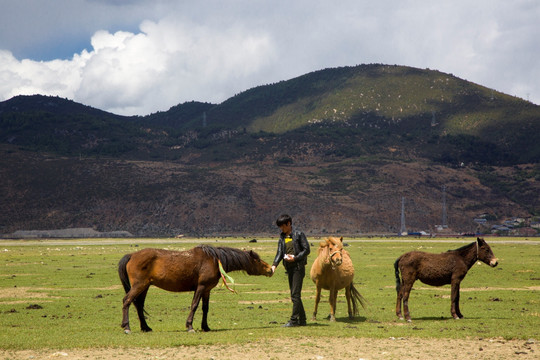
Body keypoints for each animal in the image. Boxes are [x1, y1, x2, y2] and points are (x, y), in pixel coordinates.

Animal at [116, 245, 272, 332]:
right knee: (127, 301)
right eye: (258, 260)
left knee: (139, 305)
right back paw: (127, 327)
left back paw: (146, 327)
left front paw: (206, 327)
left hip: (145, 287)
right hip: (139, 285)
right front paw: (190, 326)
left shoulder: (207, 290)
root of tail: (131, 255)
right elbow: (194, 305)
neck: (214, 260)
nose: (270, 269)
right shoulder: (201, 287)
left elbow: (205, 308)